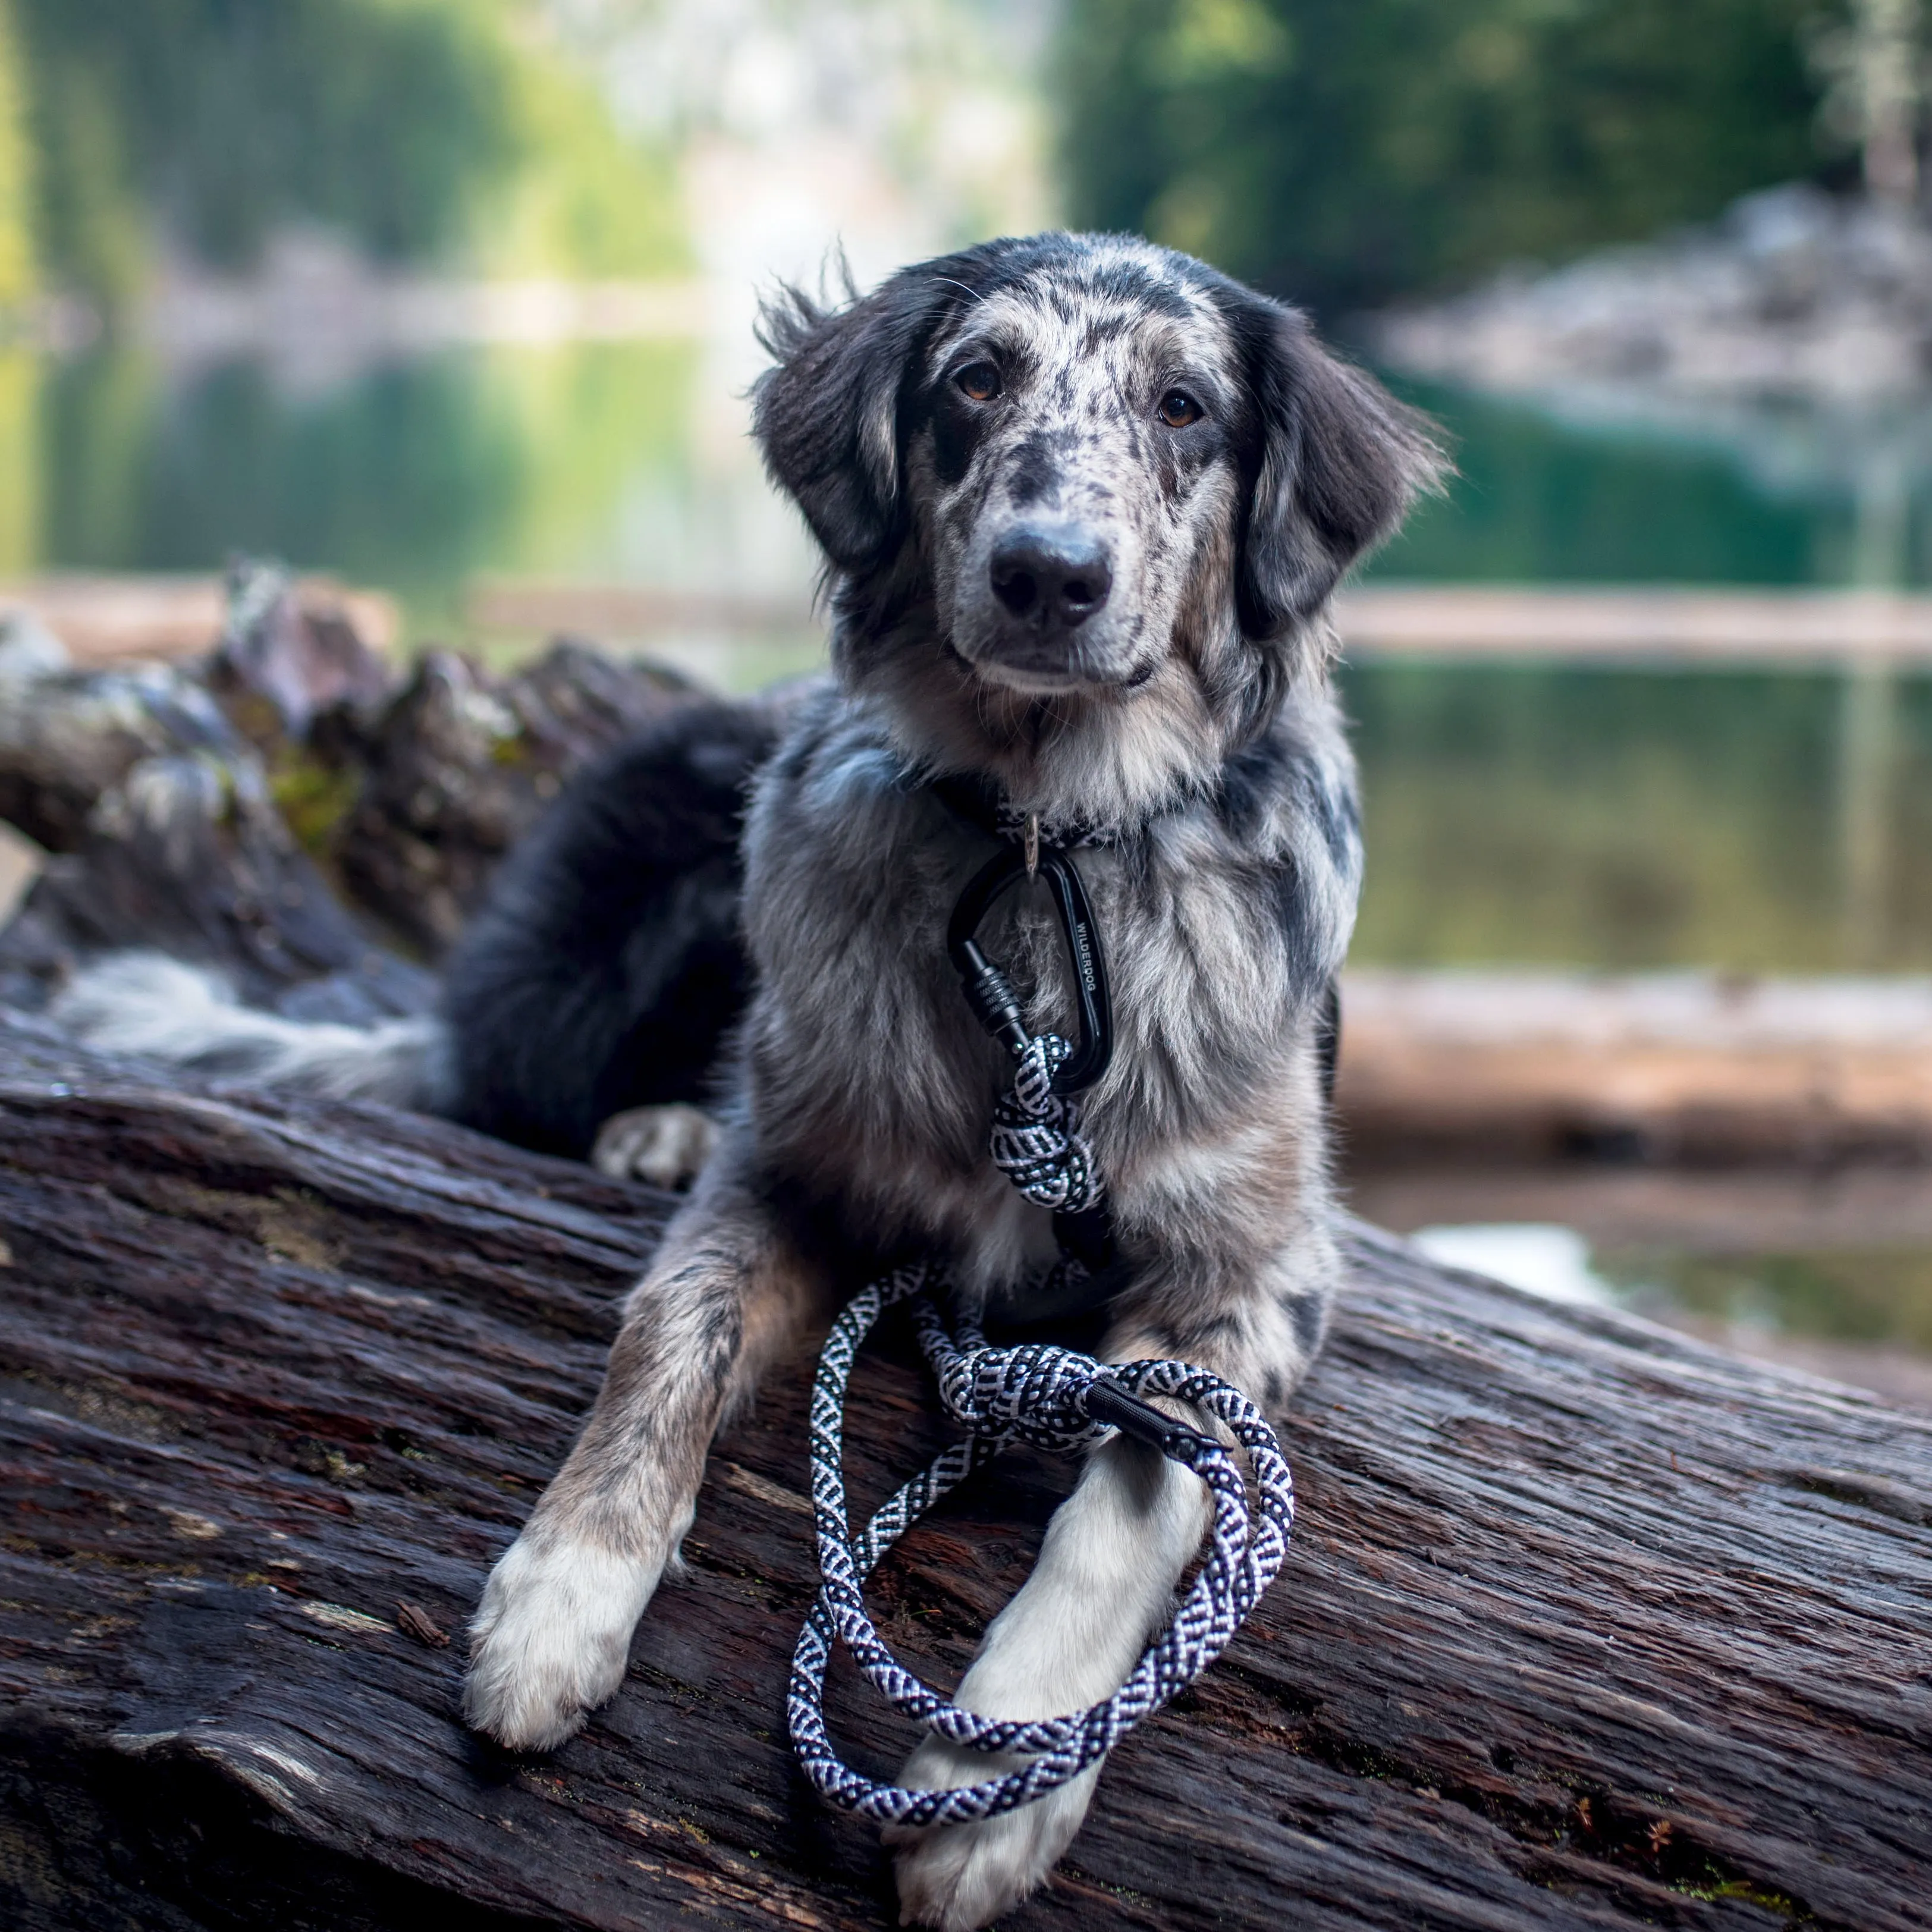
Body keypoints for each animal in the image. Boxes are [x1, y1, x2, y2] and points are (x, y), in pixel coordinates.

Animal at [56, 234, 1437, 1924]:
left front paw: (997, 1764)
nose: (1047, 573)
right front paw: (561, 1594)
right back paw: (648, 1119)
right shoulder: (789, 1165)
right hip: (632, 885)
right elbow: (672, 1331)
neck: (1036, 844)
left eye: (1183, 405)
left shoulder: (1254, 1271)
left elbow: (1144, 1484)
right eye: (977, 378)